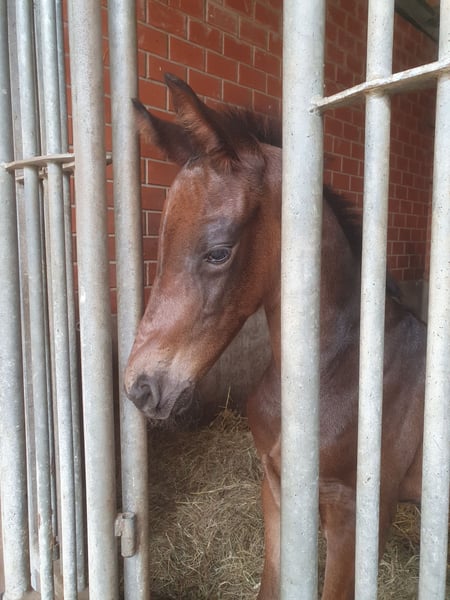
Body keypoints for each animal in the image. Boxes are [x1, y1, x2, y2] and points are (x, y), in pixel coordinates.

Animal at [124, 73, 425, 599]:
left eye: (219, 252)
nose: (141, 388)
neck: (330, 369)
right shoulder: (275, 485)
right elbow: (271, 581)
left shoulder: (355, 515)